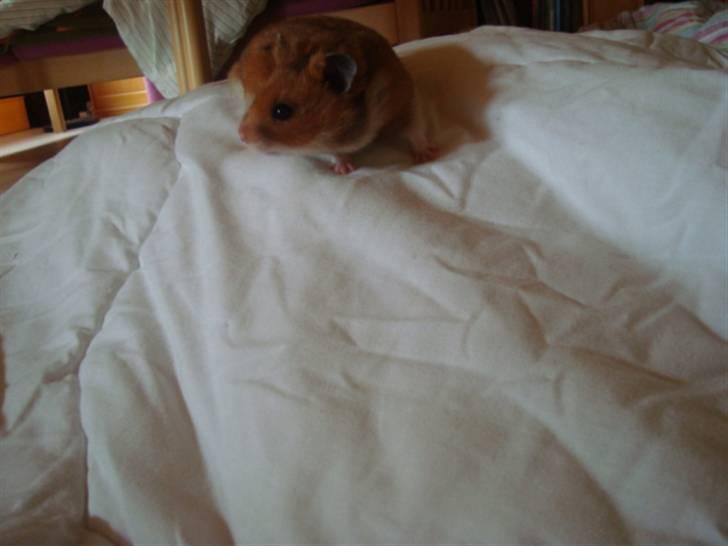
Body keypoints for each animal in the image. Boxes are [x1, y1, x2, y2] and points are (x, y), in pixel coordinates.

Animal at [229, 15, 437, 174]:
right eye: (255, 100)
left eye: (281, 111)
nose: (241, 135)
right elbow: (335, 152)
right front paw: (345, 170)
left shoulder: (405, 97)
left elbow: (415, 128)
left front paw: (427, 157)